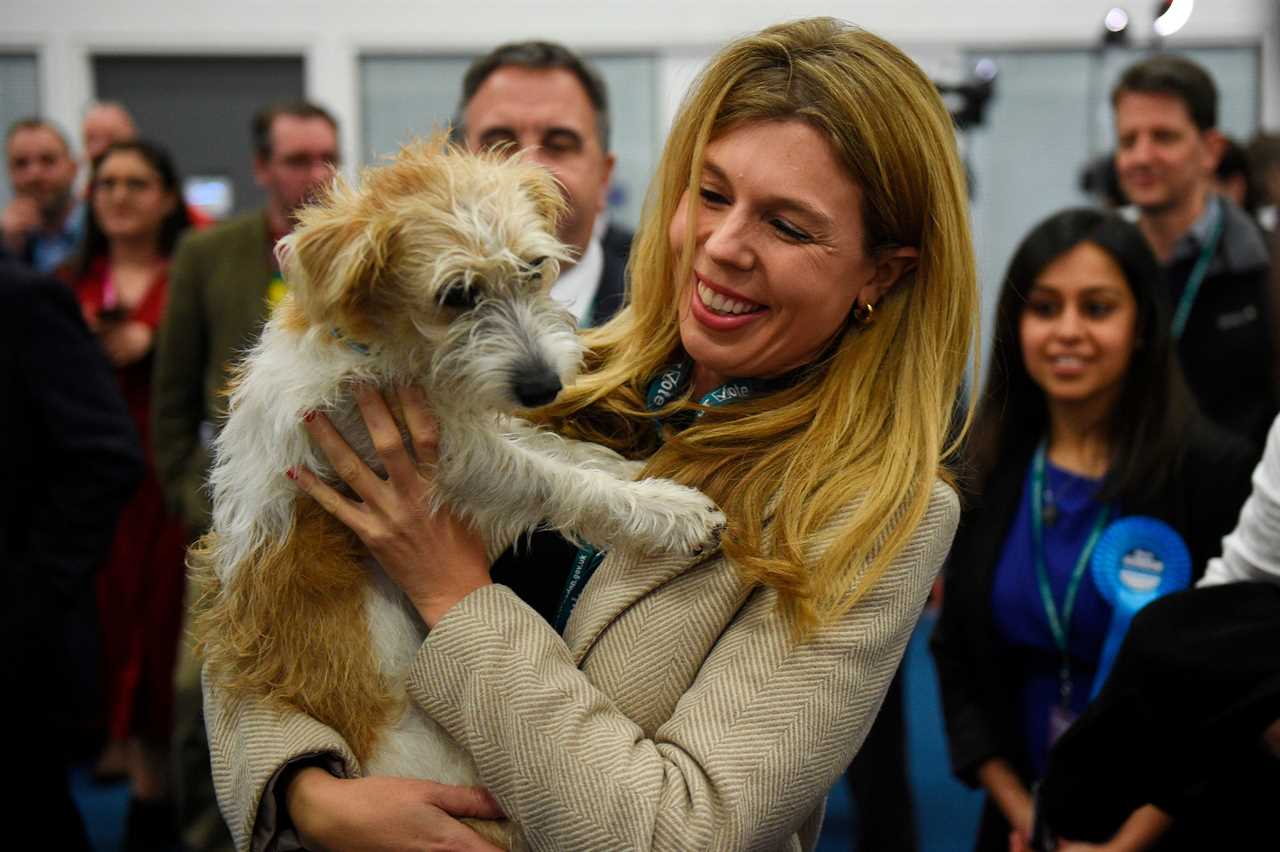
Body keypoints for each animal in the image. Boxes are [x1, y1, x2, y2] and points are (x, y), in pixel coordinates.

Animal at [193, 136, 727, 844]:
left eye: (534, 268)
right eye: (456, 295)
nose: (544, 387)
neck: (388, 349)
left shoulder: (464, 425)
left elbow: (558, 449)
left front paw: (639, 468)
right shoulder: (444, 459)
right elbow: (551, 476)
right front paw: (665, 508)